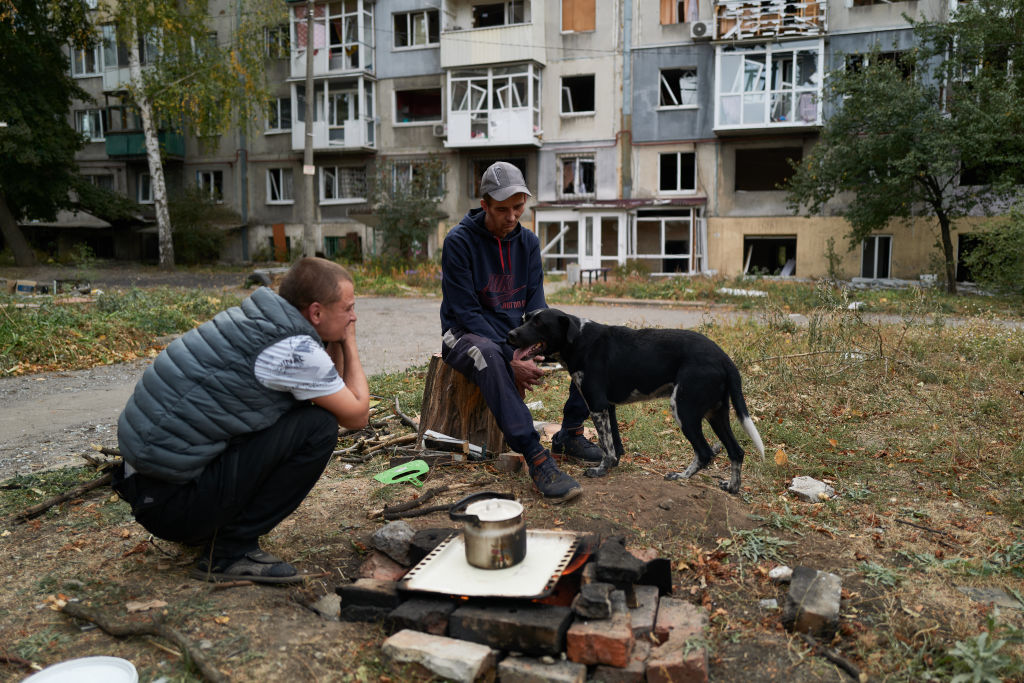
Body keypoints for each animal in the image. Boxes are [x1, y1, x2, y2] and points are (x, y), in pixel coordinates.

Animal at [507, 309, 765, 491]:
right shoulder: (608, 407)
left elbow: (607, 447)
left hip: (685, 411)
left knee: (705, 452)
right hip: (716, 414)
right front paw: (612, 465)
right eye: (525, 318)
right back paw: (732, 487)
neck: (579, 339)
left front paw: (601, 470)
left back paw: (680, 476)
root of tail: (724, 358)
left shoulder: (597, 406)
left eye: (539, 323)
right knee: (736, 451)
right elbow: (615, 444)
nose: (510, 335)